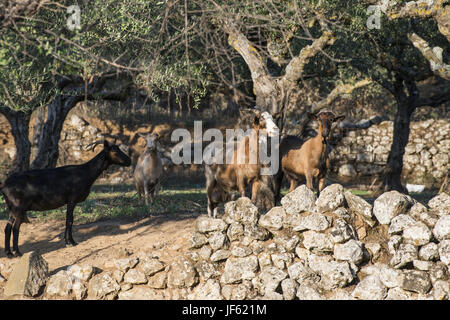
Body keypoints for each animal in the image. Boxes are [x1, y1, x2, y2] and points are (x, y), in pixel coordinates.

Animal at [0, 140, 132, 258]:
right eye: (114, 151)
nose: (129, 161)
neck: (86, 172)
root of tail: (4, 186)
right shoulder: (71, 200)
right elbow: (69, 220)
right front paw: (70, 242)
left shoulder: (71, 201)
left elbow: (70, 220)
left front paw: (69, 241)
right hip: (18, 207)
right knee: (15, 228)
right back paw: (17, 252)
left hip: (12, 208)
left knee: (7, 228)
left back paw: (9, 253)